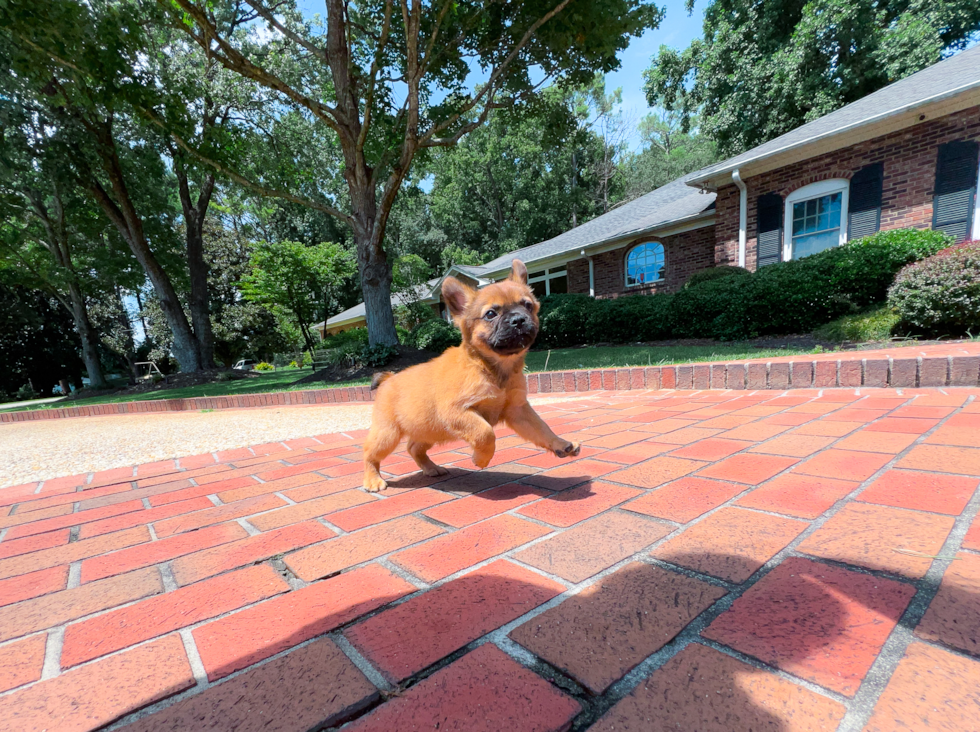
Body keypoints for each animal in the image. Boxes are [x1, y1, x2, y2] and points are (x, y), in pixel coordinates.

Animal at [362, 258, 580, 492]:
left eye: (528, 306)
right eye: (491, 314)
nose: (519, 319)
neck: (491, 369)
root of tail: (388, 379)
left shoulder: (518, 411)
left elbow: (542, 429)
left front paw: (560, 444)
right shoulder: (458, 412)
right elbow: (485, 433)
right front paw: (481, 459)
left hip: (428, 430)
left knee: (413, 447)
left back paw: (431, 468)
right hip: (388, 435)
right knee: (369, 454)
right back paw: (373, 479)